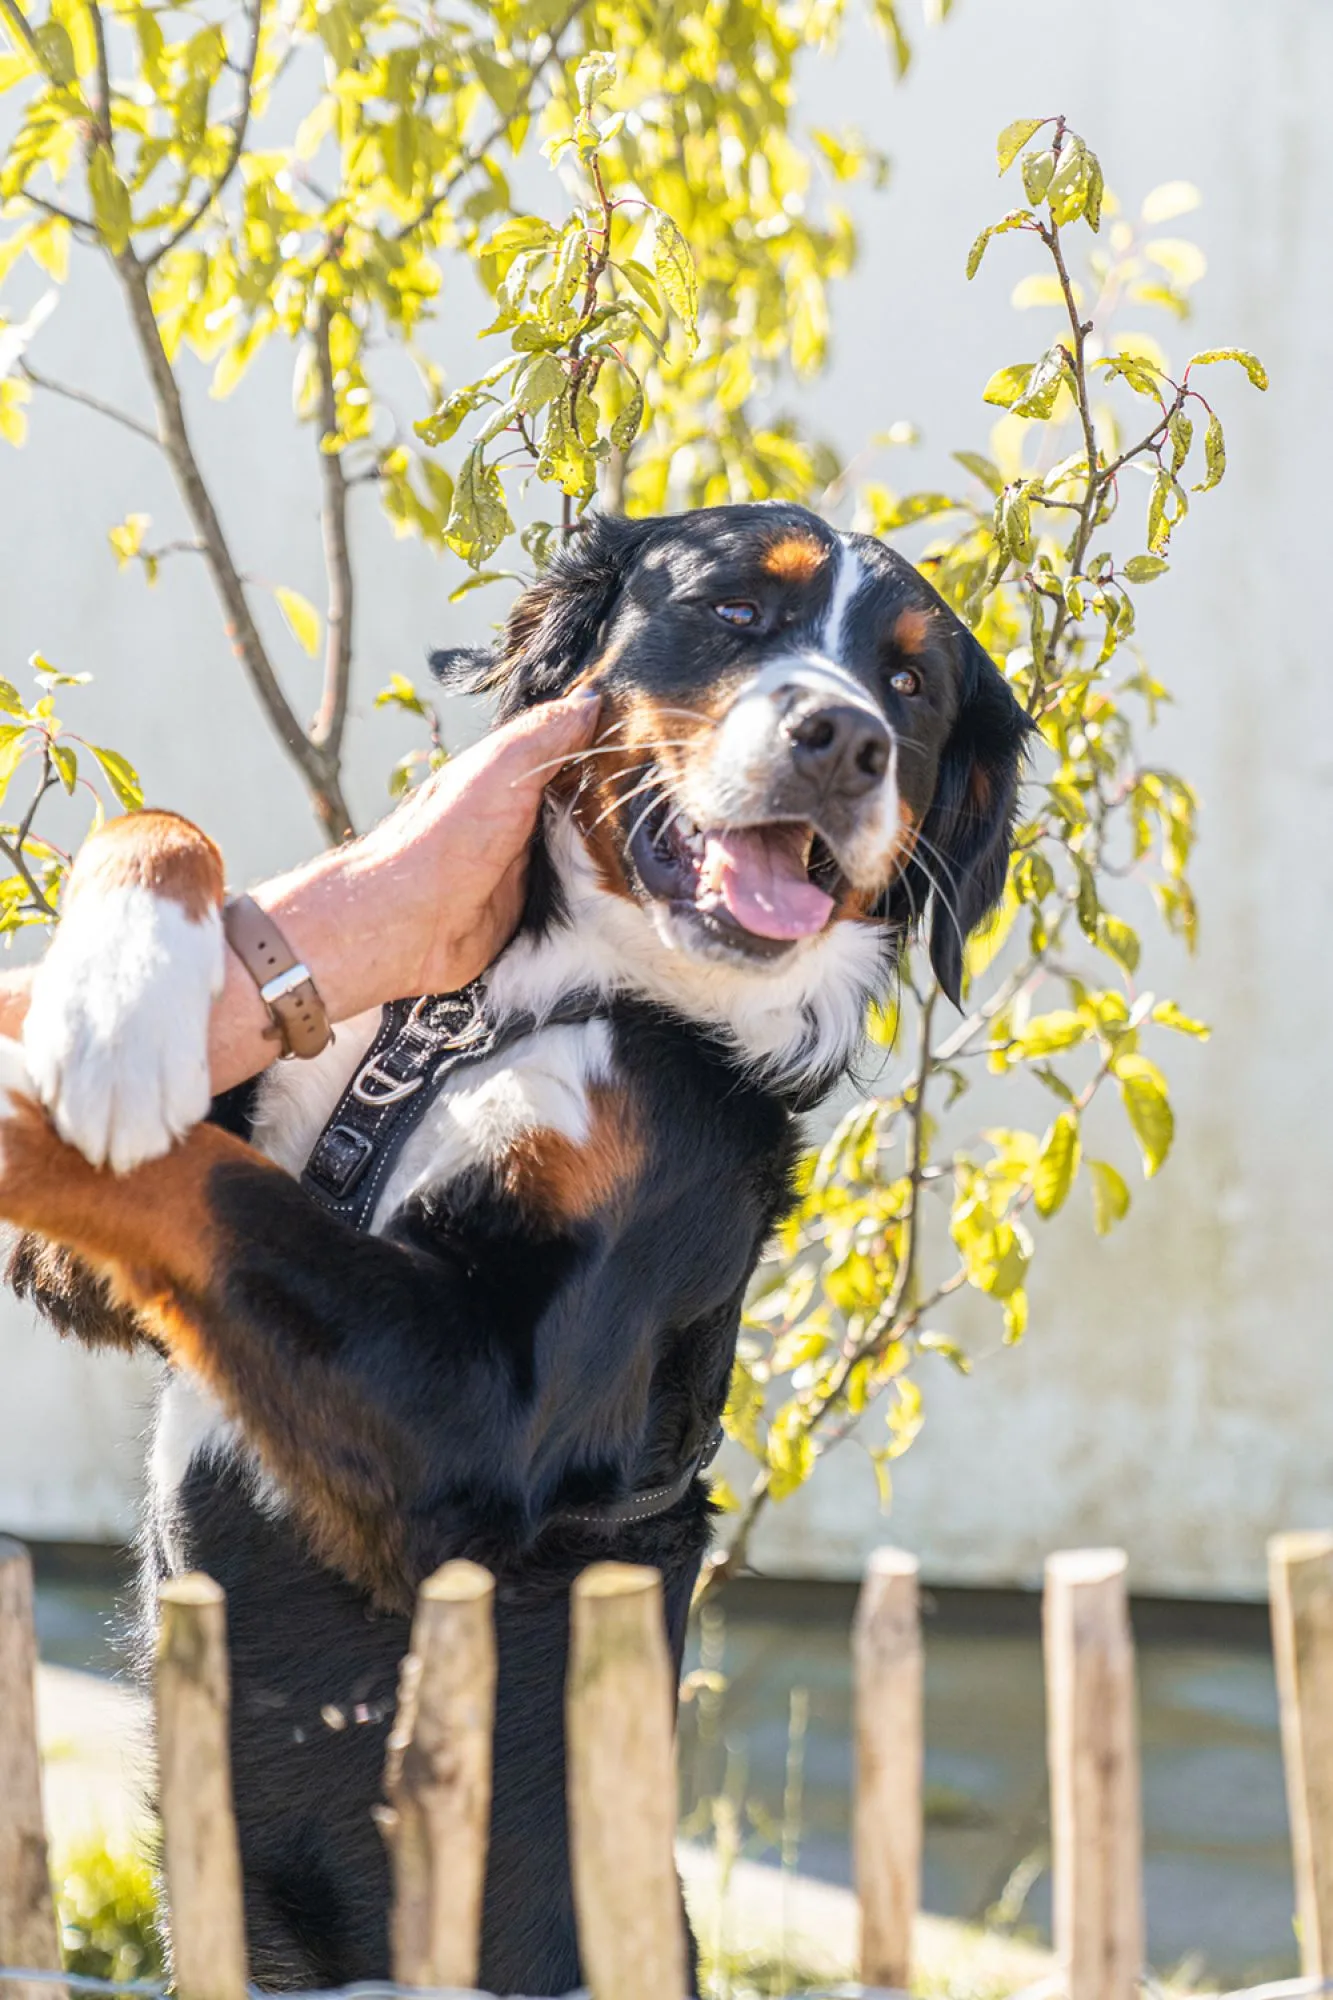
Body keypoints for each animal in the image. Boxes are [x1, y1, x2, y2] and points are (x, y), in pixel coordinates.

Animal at [0, 504, 1024, 2000]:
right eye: (733, 610)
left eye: (909, 685)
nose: (844, 741)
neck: (546, 996)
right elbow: (164, 837)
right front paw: (116, 1003)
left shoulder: (480, 1413)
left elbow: (197, 1185)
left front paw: (49, 1073)